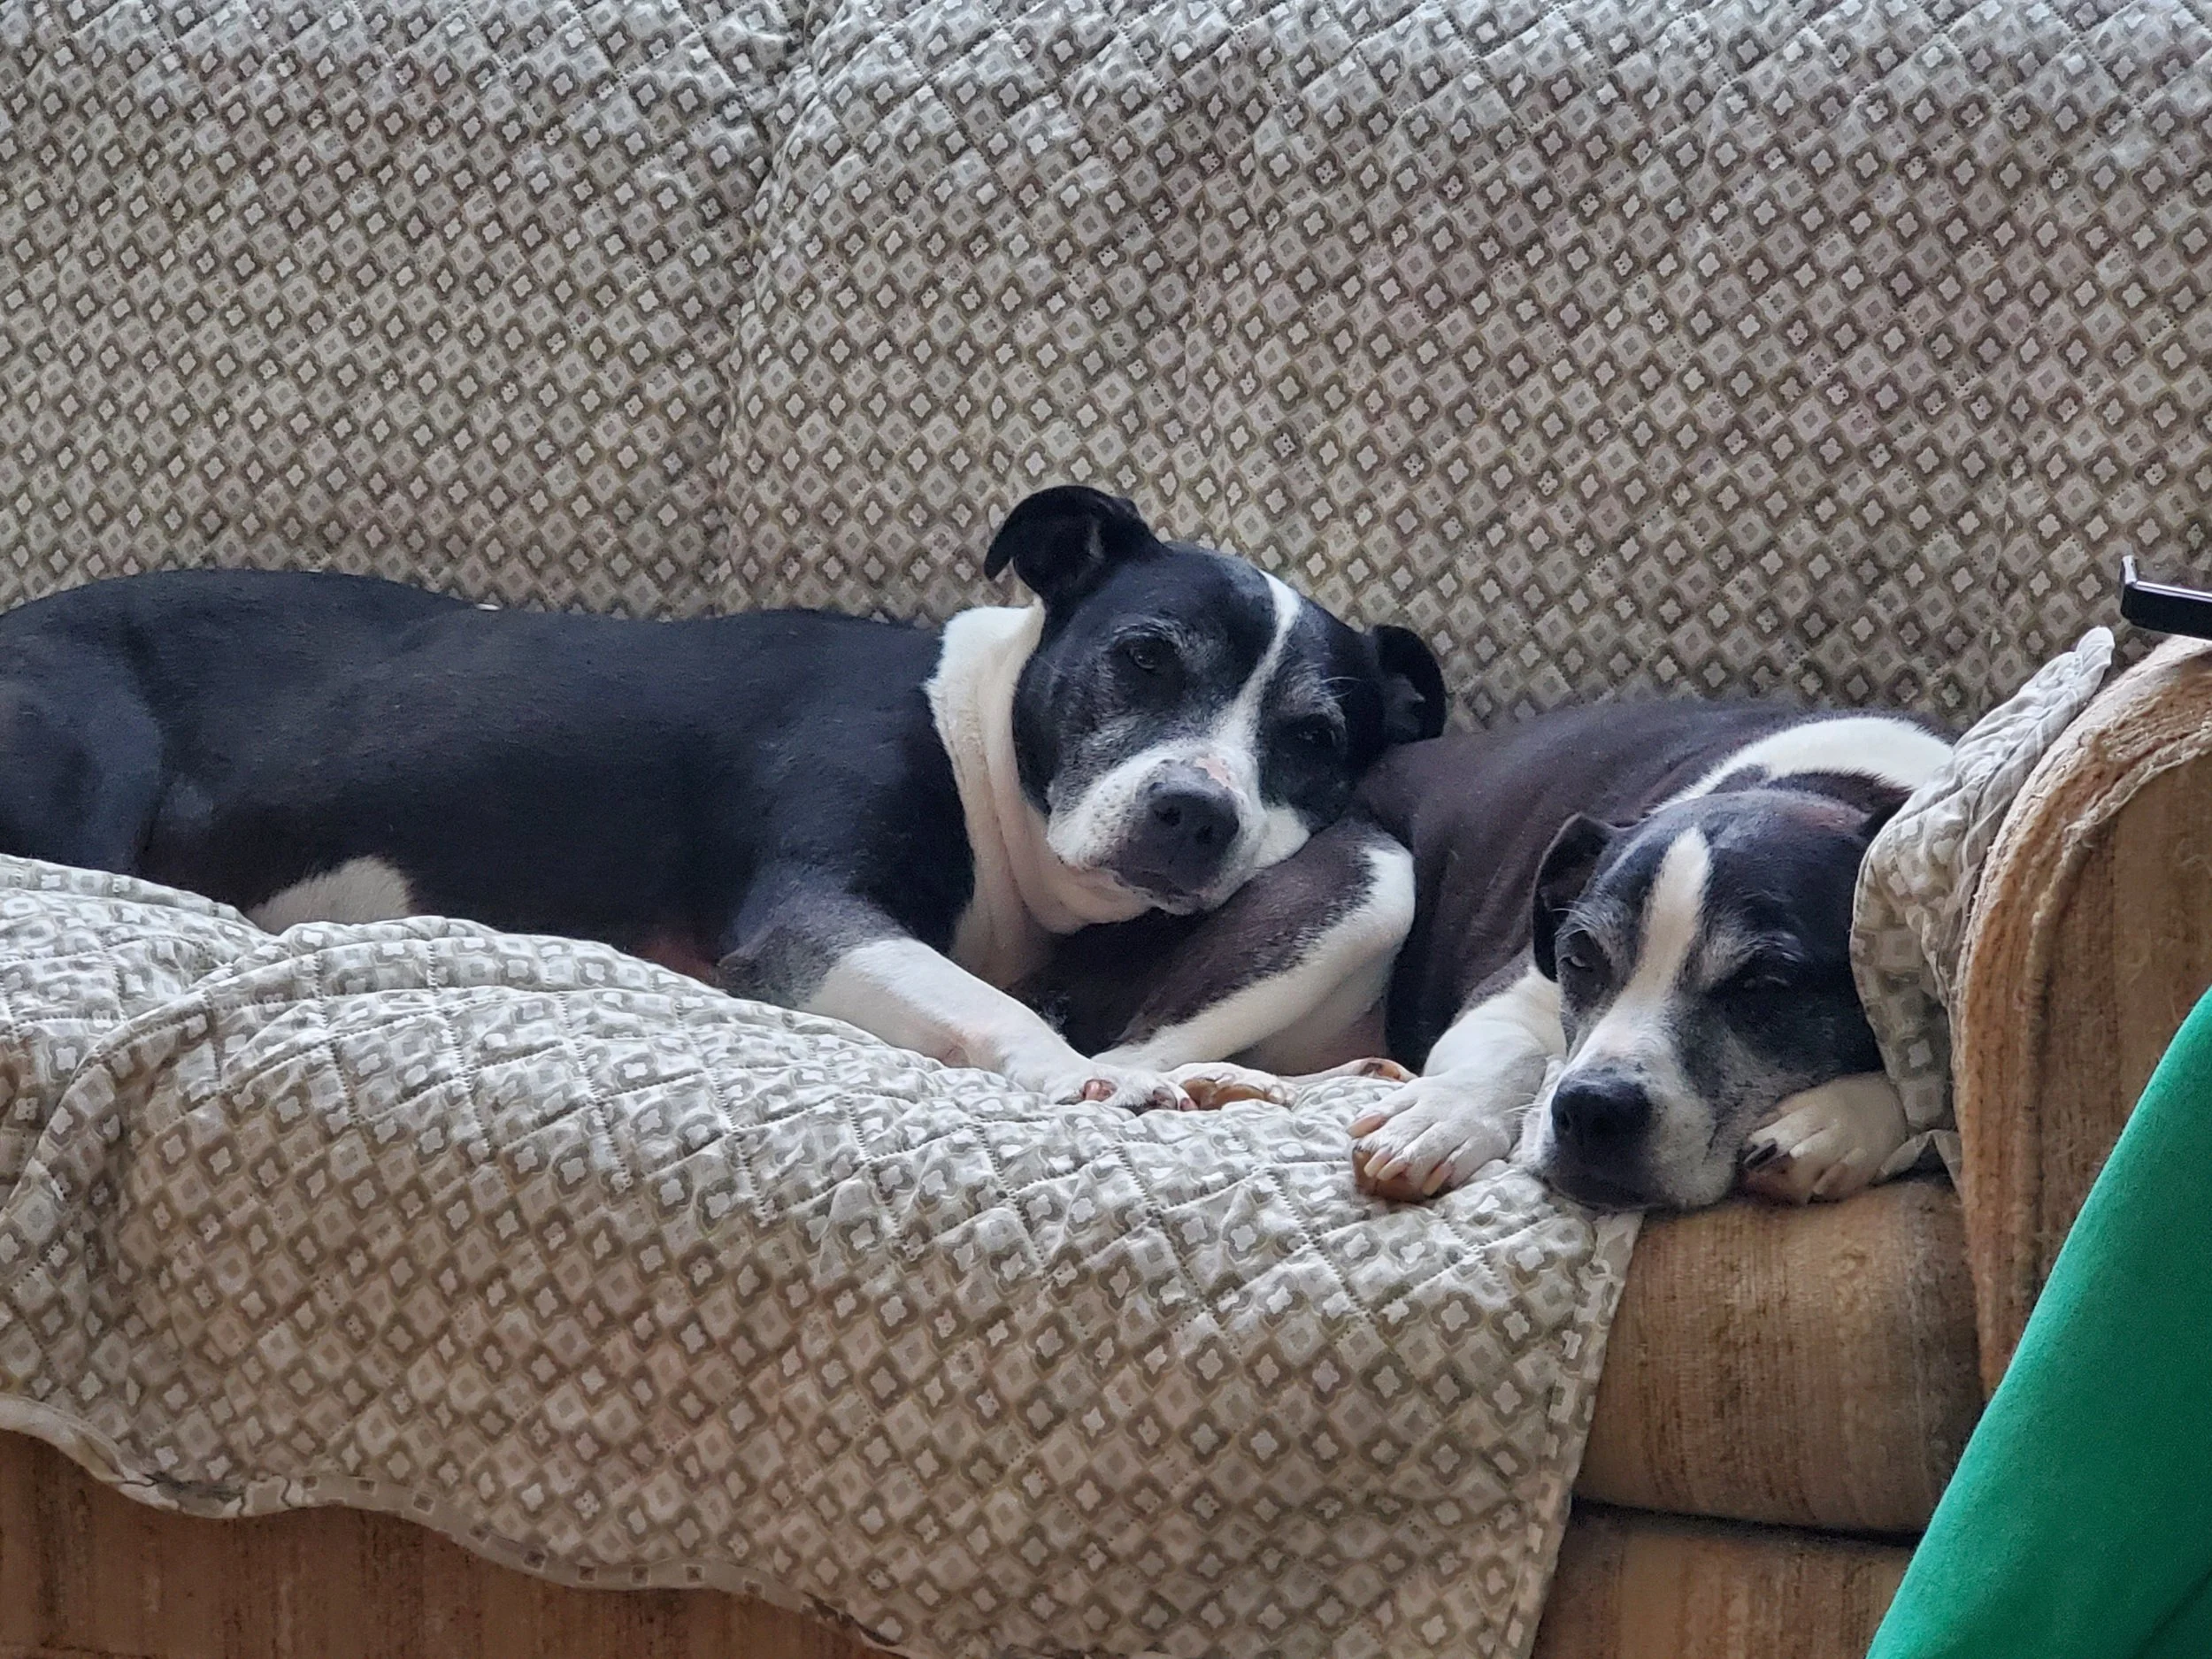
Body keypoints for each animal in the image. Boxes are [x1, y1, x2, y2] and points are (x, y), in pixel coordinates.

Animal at [0, 485, 1444, 1111]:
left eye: (1314, 738)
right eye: (1146, 657)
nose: (1197, 811)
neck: (977, 742)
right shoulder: (811, 916)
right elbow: (992, 1012)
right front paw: (1082, 1079)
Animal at [1030, 699, 1952, 1208]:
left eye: (1767, 983)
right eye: (1580, 958)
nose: (1593, 1110)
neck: (1834, 782)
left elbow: (1930, 1075)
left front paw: (1839, 1121)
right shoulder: (1514, 994)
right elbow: (1510, 1058)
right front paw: (1443, 1116)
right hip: (1371, 879)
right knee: (1126, 1055)